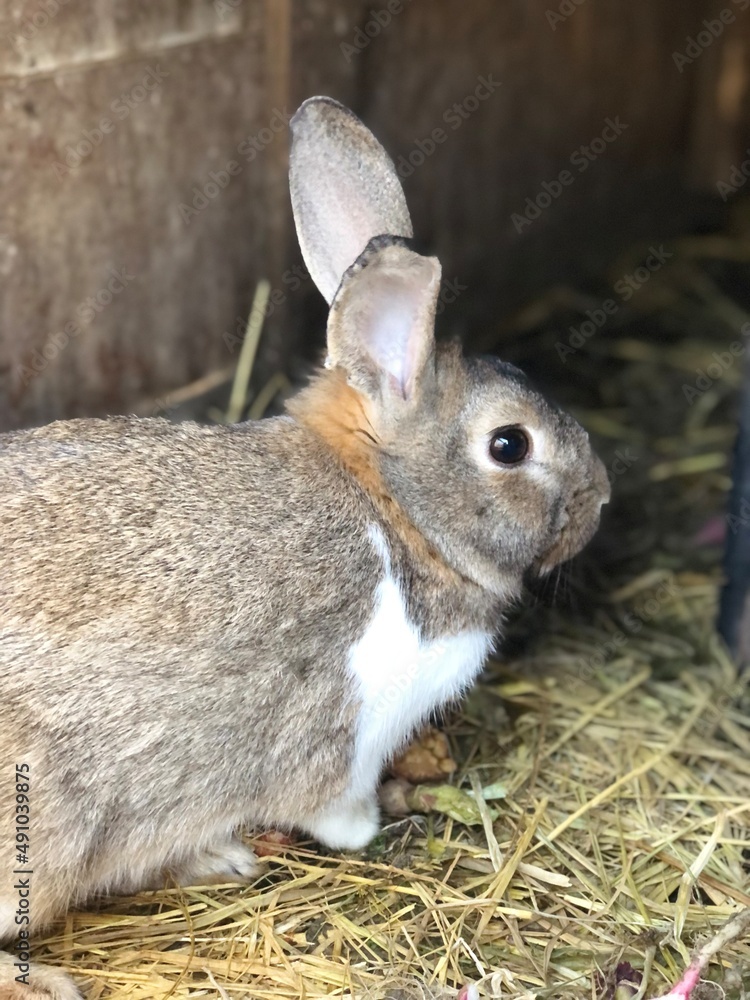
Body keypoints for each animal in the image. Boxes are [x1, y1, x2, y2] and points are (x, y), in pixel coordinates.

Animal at [0, 96, 610, 999]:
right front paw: (384, 815)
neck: (393, 510)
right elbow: (340, 812)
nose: (602, 498)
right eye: (510, 445)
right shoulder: (344, 734)